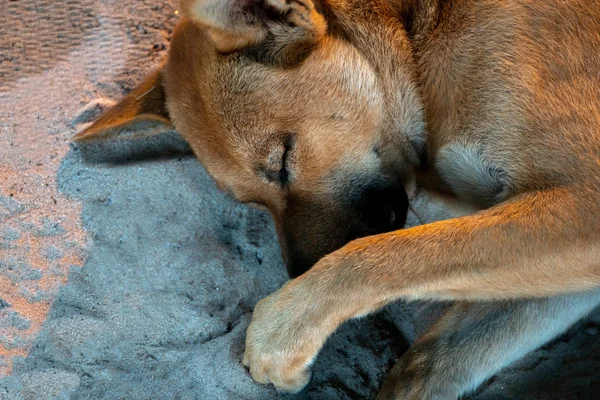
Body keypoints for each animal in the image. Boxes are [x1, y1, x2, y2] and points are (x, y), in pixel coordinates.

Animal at [75, 0, 600, 398]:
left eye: (283, 161)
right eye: (252, 202)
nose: (299, 271)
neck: (416, 32)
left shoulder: (583, 204)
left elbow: (381, 256)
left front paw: (284, 327)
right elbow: (427, 363)